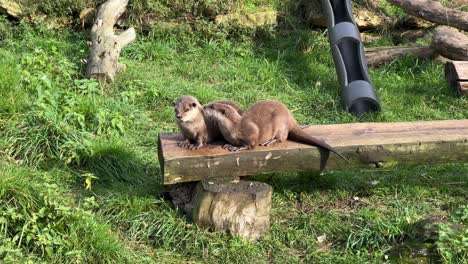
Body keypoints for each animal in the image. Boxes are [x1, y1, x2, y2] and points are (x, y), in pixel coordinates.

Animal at [203, 100, 350, 166]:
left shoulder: (251, 132)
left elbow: (250, 144)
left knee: (283, 137)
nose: (203, 106)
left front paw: (236, 147)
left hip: (280, 123)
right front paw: (229, 144)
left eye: (212, 106)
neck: (233, 127)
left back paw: (270, 141)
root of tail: (290, 116)